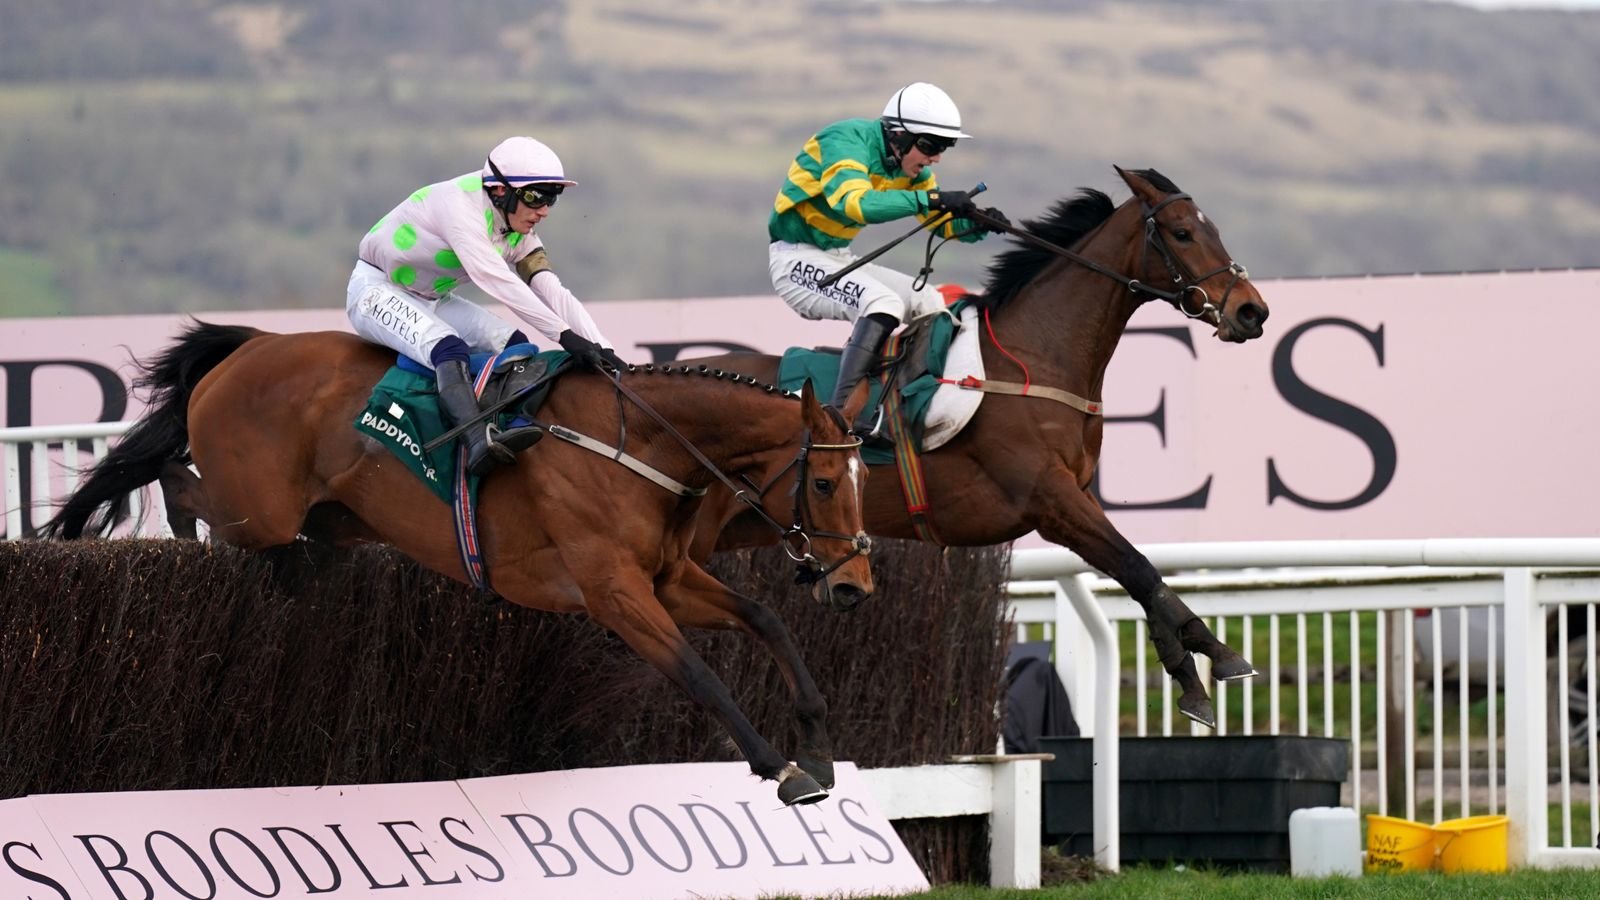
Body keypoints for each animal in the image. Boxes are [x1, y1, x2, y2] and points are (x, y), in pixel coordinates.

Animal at [40, 323, 876, 807]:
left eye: (863, 479)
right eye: (824, 483)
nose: (854, 585)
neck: (636, 444)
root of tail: (249, 345)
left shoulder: (668, 578)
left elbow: (766, 619)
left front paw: (819, 747)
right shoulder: (613, 591)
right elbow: (698, 674)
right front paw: (781, 768)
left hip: (328, 518)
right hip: (258, 506)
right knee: (173, 478)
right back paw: (182, 537)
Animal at [694, 168, 1267, 723]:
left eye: (1212, 229)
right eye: (1182, 232)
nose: (1251, 311)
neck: (1030, 359)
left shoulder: (1074, 497)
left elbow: (1138, 575)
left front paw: (1198, 668)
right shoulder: (1050, 501)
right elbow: (1138, 566)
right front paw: (1210, 664)